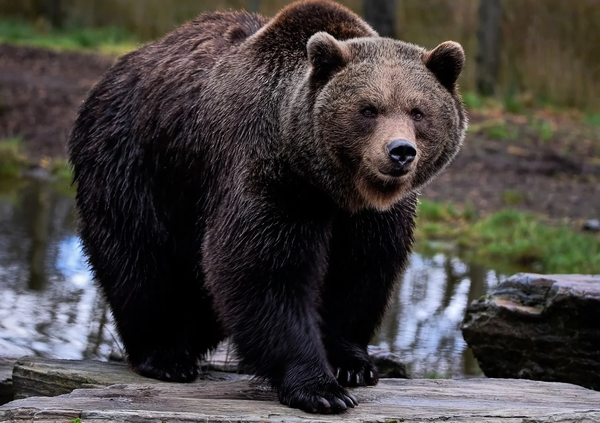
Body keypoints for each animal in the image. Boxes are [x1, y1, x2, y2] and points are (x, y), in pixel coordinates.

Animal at [68, 0, 466, 418]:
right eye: (368, 109)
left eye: (418, 111)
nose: (400, 151)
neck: (333, 187)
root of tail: (115, 71)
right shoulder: (272, 176)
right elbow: (266, 271)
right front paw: (320, 388)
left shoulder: (372, 218)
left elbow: (361, 271)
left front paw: (353, 365)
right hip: (138, 162)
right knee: (140, 259)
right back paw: (166, 356)